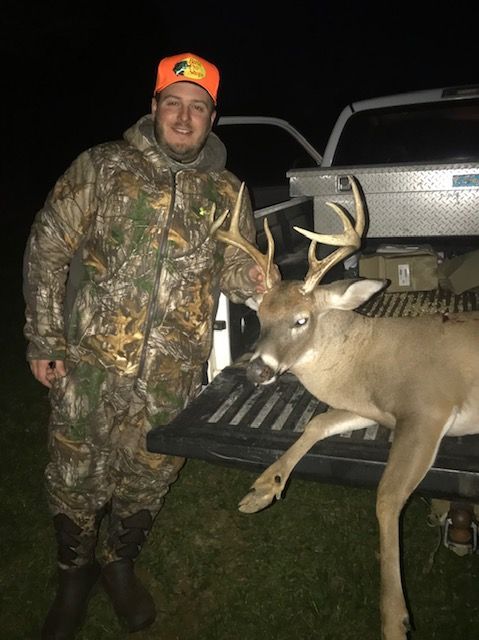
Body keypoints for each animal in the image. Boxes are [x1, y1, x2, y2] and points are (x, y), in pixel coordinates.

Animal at [211, 176, 479, 640]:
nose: (258, 372)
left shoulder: (428, 406)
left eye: (301, 320)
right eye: (261, 317)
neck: (365, 362)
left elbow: (387, 496)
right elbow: (317, 423)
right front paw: (262, 488)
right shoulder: (375, 410)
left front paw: (394, 617)